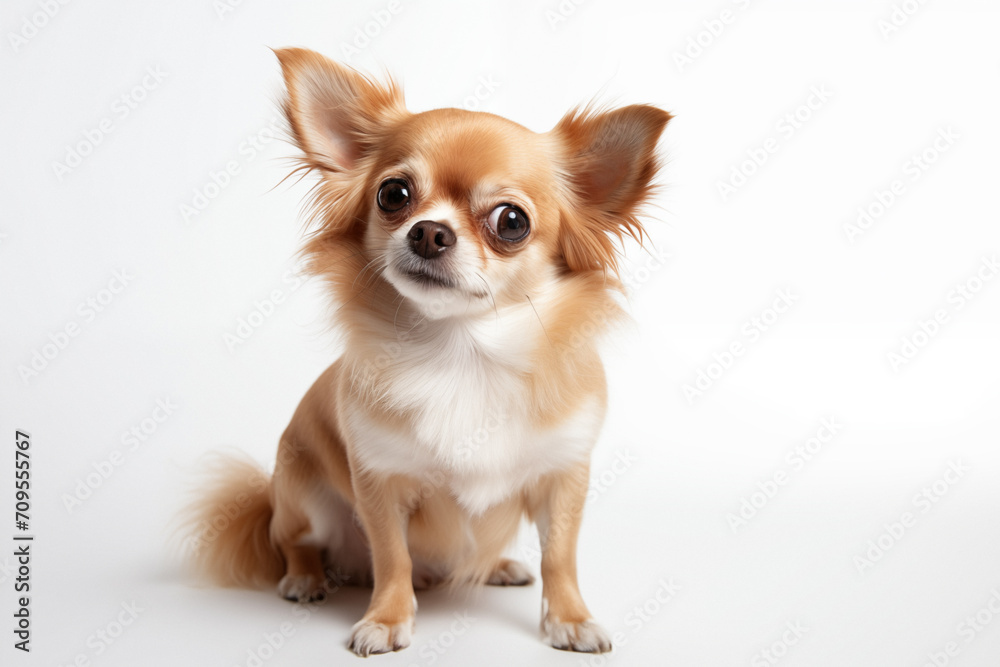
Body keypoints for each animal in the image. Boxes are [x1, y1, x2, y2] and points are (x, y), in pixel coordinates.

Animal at [188, 47, 672, 656]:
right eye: (393, 194)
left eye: (511, 221)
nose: (429, 232)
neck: (461, 352)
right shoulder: (379, 482)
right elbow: (392, 557)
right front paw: (387, 620)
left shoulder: (563, 476)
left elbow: (561, 557)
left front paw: (571, 618)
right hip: (301, 494)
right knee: (296, 541)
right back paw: (305, 578)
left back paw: (499, 566)